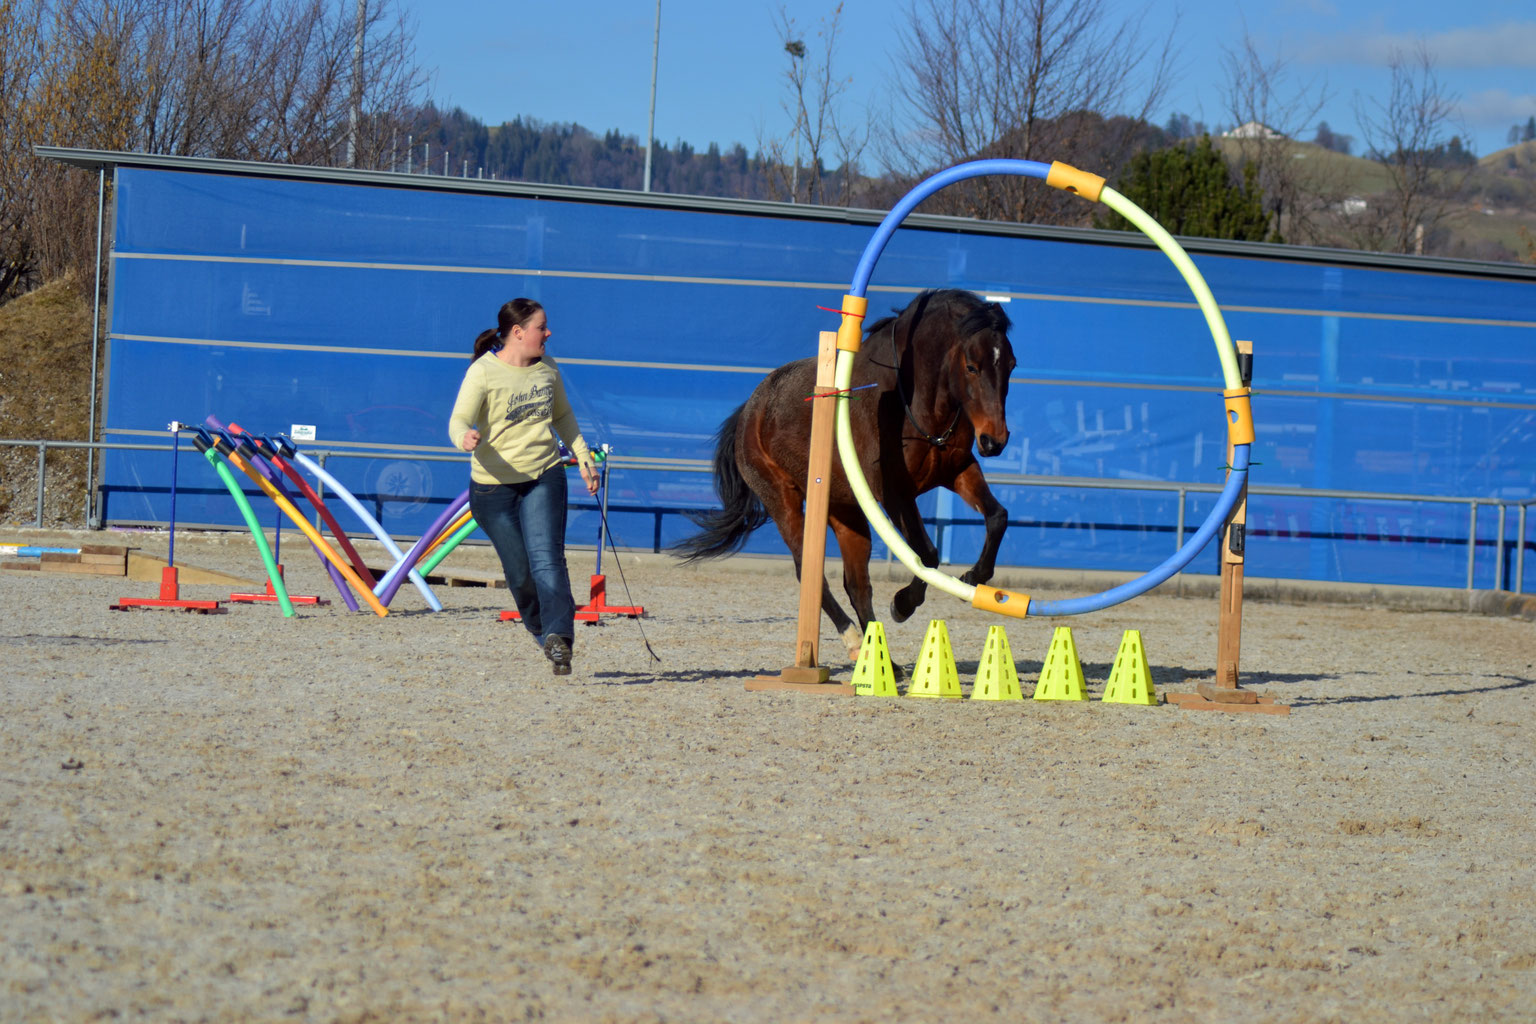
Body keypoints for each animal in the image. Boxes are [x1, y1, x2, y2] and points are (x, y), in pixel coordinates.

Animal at [675, 288, 1017, 665]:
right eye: (971, 366)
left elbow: (997, 517)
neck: (913, 400)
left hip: (846, 511)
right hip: (783, 500)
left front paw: (973, 577)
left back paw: (882, 660)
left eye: (1011, 365)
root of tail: (751, 409)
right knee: (810, 572)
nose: (995, 440)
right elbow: (926, 554)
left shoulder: (958, 471)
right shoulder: (895, 494)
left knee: (857, 583)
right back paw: (853, 639)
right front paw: (903, 604)